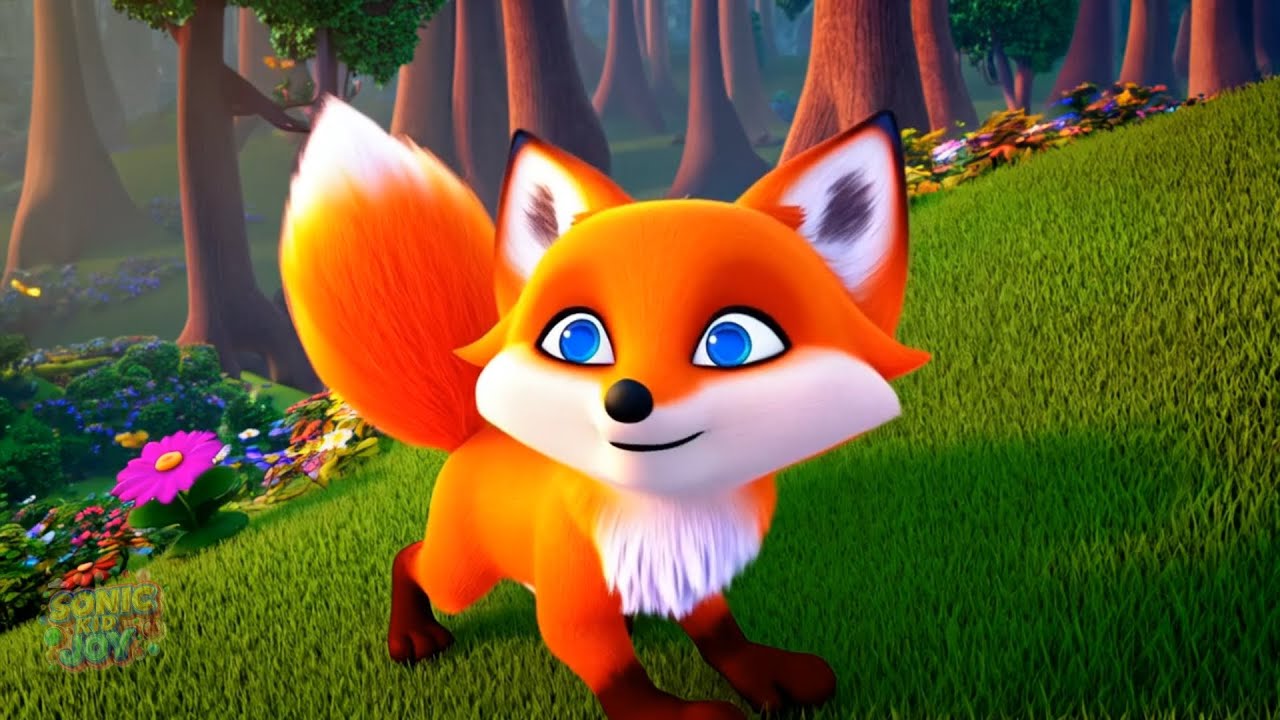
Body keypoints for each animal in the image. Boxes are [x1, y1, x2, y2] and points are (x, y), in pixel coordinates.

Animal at [279, 96, 930, 720]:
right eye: (577, 339)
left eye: (733, 342)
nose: (627, 398)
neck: (663, 520)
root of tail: (474, 432)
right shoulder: (574, 607)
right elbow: (614, 674)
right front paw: (677, 715)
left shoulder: (696, 586)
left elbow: (724, 637)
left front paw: (770, 672)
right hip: (460, 574)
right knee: (412, 561)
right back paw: (411, 636)